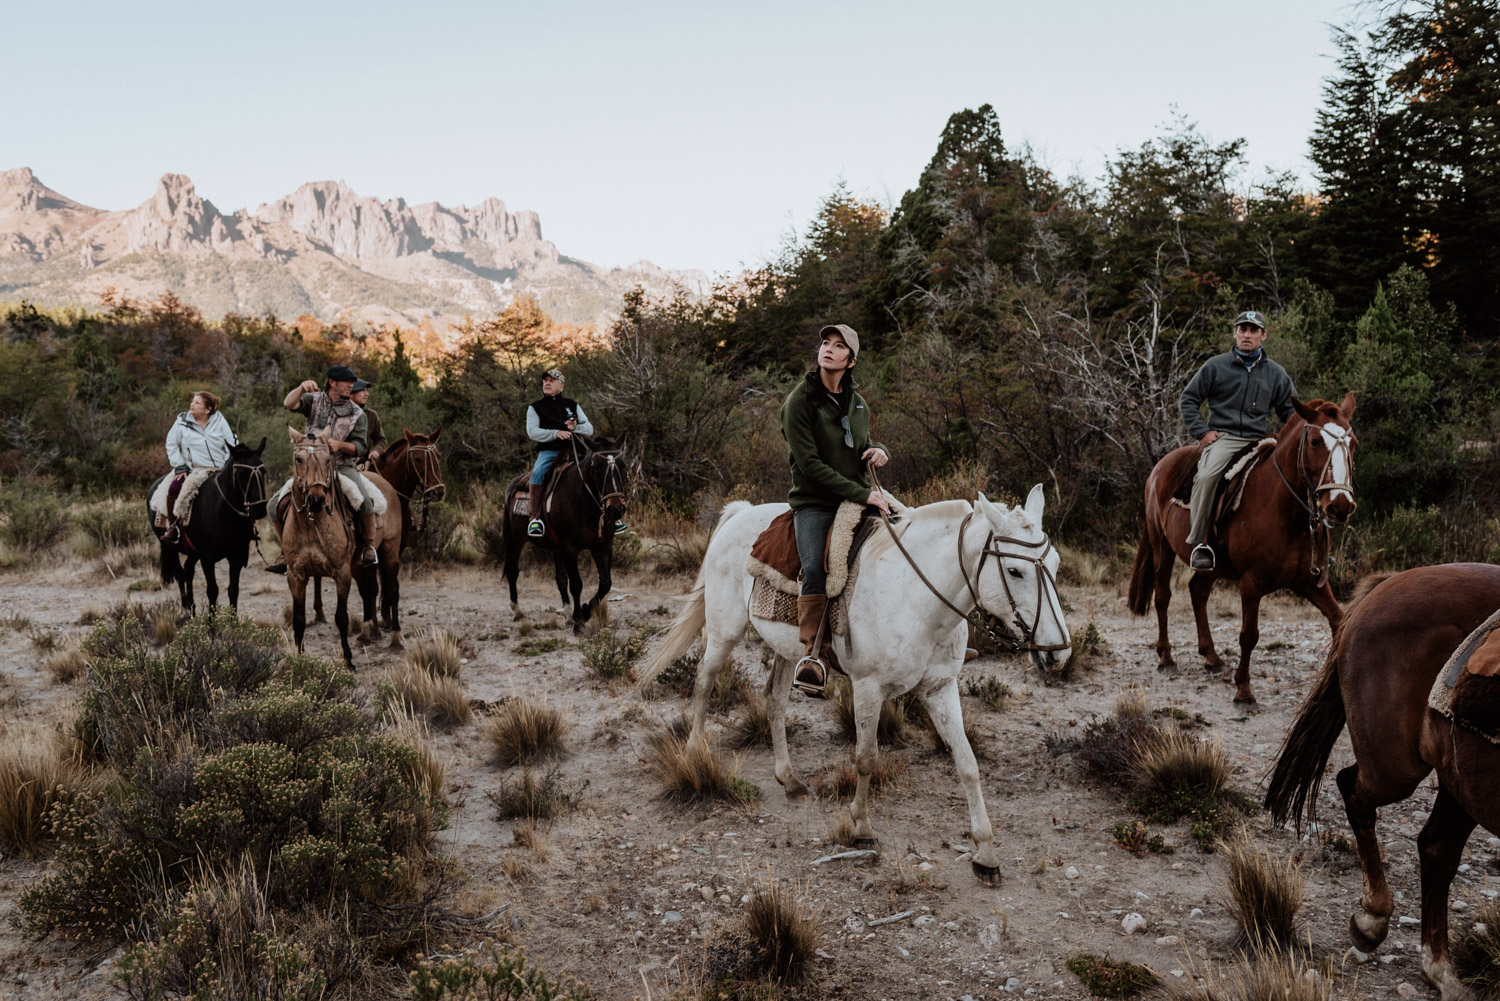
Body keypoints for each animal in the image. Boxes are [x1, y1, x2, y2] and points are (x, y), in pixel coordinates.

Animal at [150, 441, 270, 615]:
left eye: (263, 471)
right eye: (241, 472)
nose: (259, 509)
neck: (223, 511)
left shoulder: (236, 556)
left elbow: (233, 590)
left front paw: (233, 621)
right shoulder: (207, 557)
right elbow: (212, 590)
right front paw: (211, 622)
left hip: (192, 552)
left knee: (188, 571)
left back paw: (192, 609)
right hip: (170, 547)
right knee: (180, 573)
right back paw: (186, 608)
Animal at [501, 435, 624, 630]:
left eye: (623, 465)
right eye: (596, 467)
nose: (615, 509)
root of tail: (514, 484)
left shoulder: (602, 546)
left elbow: (605, 583)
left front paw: (585, 611)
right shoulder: (570, 548)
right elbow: (576, 583)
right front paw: (579, 618)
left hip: (556, 548)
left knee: (560, 579)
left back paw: (566, 613)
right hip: (514, 538)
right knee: (513, 571)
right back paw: (518, 611)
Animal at [639, 486, 1074, 882]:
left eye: (1055, 563)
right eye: (1014, 571)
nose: (1058, 653)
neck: (917, 599)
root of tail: (740, 513)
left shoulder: (940, 689)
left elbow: (967, 764)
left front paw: (985, 853)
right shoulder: (868, 688)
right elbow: (866, 758)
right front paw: (861, 827)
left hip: (786, 650)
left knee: (774, 701)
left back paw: (789, 778)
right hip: (724, 632)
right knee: (703, 683)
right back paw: (695, 755)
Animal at [1128, 390, 1362, 705]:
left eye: (1353, 444)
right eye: (1315, 441)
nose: (1340, 505)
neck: (1284, 510)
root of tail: (1160, 466)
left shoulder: (1309, 582)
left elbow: (1339, 622)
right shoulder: (1251, 584)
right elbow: (1249, 635)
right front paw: (1243, 689)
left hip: (1211, 565)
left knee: (1197, 592)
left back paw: (1211, 657)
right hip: (1161, 547)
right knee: (1163, 596)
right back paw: (1166, 657)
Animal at [1266, 564, 1500, 1001]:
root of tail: (1389, 582)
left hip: (1462, 778)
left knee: (1437, 849)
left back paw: (1439, 969)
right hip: (1398, 769)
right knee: (1354, 791)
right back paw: (1373, 920)